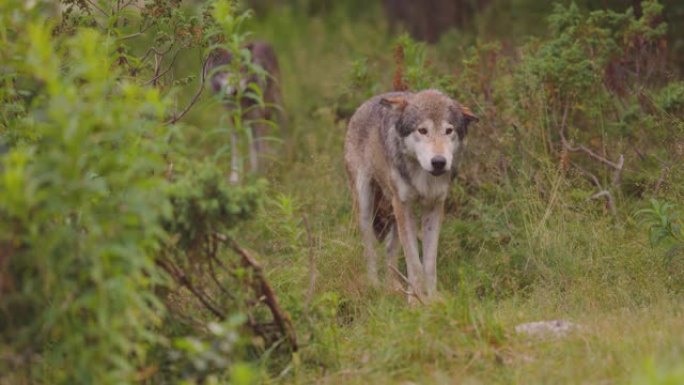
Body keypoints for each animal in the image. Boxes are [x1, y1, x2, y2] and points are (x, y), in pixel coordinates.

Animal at [207, 41, 284, 181]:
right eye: (225, 71)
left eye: (241, 70)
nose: (235, 90)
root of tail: (263, 41)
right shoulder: (234, 121)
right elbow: (236, 149)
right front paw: (235, 178)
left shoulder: (257, 119)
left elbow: (259, 147)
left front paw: (260, 175)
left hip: (275, 106)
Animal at [344, 89, 478, 300]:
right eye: (422, 131)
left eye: (449, 130)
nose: (438, 162)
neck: (424, 178)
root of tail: (366, 103)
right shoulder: (404, 204)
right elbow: (414, 263)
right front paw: (416, 301)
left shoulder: (434, 206)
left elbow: (429, 264)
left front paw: (432, 299)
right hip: (367, 206)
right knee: (369, 250)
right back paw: (375, 286)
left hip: (393, 211)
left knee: (390, 249)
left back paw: (393, 287)